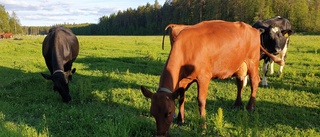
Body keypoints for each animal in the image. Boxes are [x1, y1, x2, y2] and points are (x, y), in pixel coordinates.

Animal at [140, 20, 282, 136]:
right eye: (152, 113)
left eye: (169, 113)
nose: (161, 134)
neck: (186, 49)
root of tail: (252, 29)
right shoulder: (184, 80)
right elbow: (181, 97)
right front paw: (181, 119)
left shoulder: (204, 77)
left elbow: (201, 101)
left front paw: (202, 126)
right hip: (239, 63)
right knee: (240, 83)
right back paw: (237, 104)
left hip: (252, 61)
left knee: (254, 82)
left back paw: (250, 107)